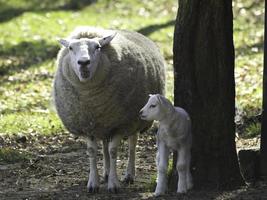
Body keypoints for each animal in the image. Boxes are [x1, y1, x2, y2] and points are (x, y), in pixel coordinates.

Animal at [52, 25, 165, 193]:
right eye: (71, 48)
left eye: (98, 47)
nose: (83, 62)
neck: (91, 99)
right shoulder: (88, 125)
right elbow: (92, 152)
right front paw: (93, 183)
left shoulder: (120, 123)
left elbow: (113, 151)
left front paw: (113, 184)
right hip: (104, 124)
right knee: (105, 145)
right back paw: (105, 172)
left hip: (135, 119)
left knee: (132, 144)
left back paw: (129, 175)